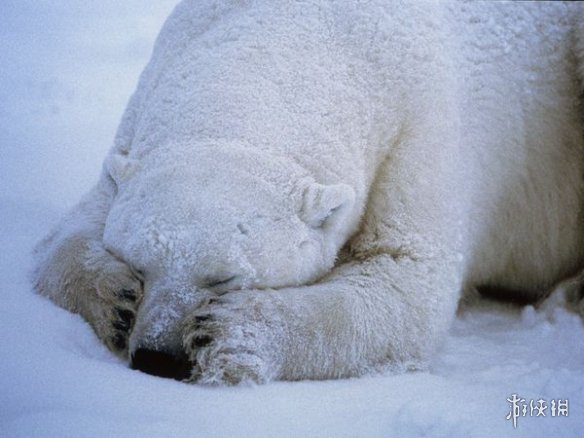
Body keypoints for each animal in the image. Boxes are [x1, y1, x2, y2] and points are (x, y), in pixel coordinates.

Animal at [33, 0, 584, 384]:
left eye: (225, 279)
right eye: (140, 264)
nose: (156, 356)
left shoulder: (424, 134)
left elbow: (406, 283)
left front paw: (228, 334)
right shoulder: (144, 107)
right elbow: (72, 228)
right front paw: (115, 299)